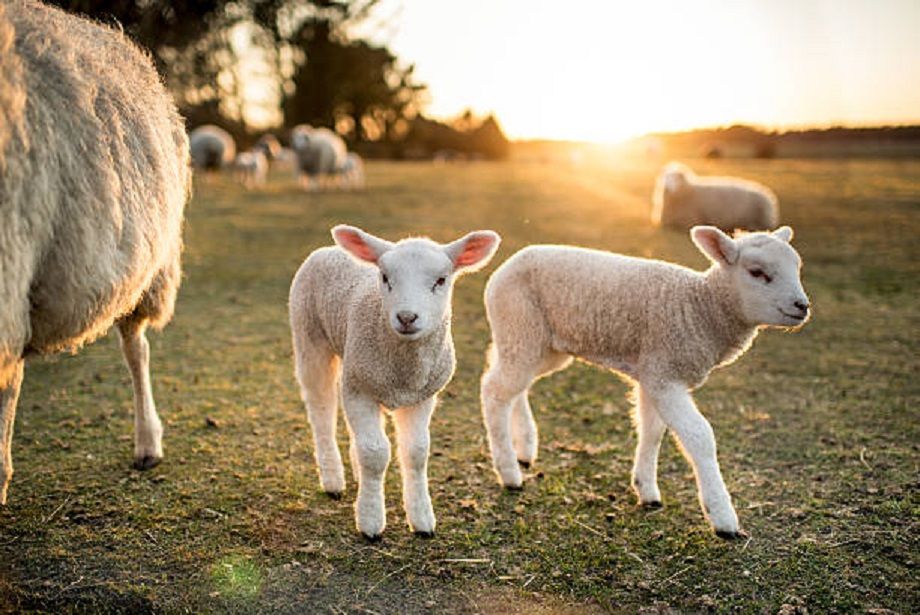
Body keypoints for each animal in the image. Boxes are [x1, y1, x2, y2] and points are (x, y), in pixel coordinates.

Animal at [290, 226, 500, 540]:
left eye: (441, 280)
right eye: (385, 277)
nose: (407, 317)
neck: (404, 373)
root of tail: (330, 249)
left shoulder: (421, 396)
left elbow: (416, 452)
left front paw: (422, 519)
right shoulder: (360, 389)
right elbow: (375, 453)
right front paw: (370, 521)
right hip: (310, 340)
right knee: (321, 412)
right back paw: (333, 479)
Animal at [478, 226, 808, 540]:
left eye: (797, 267)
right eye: (757, 272)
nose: (802, 306)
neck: (701, 308)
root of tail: (510, 262)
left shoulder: (653, 372)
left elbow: (652, 431)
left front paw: (646, 489)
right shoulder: (664, 376)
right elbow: (700, 436)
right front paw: (722, 517)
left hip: (541, 344)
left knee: (512, 382)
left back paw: (524, 447)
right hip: (520, 325)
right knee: (495, 390)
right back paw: (509, 472)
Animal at [652, 161, 780, 231]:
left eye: (676, 178)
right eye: (666, 177)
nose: (668, 186)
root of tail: (767, 195)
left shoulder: (689, 221)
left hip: (758, 220)